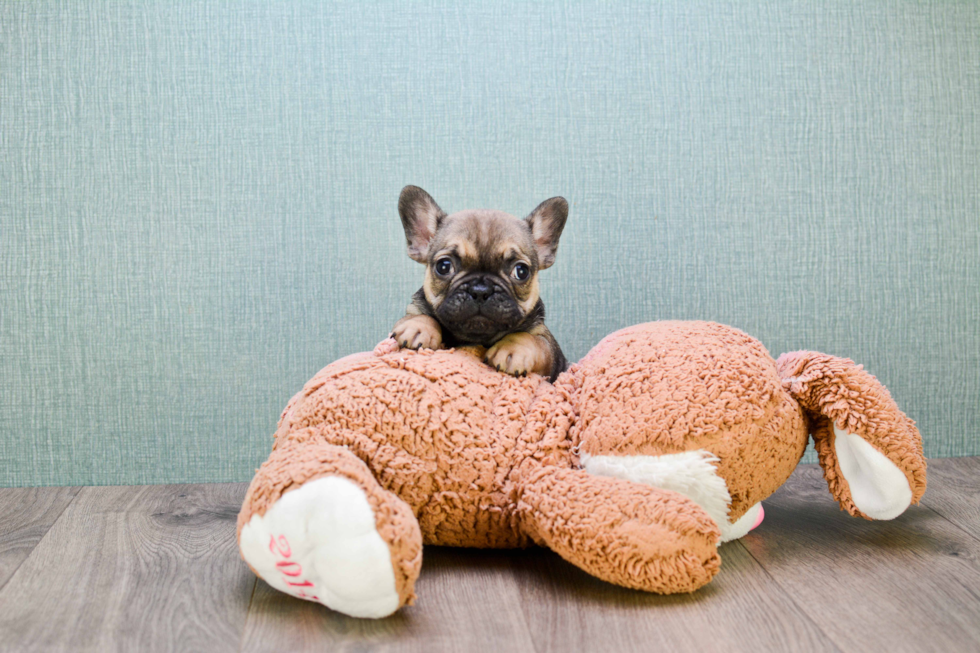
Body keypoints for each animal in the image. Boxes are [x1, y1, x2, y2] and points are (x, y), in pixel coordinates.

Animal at [394, 185, 572, 382]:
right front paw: (417, 326)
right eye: (444, 266)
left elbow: (530, 338)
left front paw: (512, 348)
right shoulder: (414, 308)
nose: (480, 290)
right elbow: (419, 316)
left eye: (521, 271)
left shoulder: (550, 349)